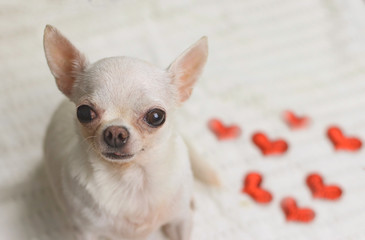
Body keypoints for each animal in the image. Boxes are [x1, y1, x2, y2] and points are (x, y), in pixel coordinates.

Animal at [43, 24, 219, 240]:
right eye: (83, 112)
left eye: (156, 116)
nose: (115, 132)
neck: (131, 177)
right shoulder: (85, 231)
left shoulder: (181, 220)